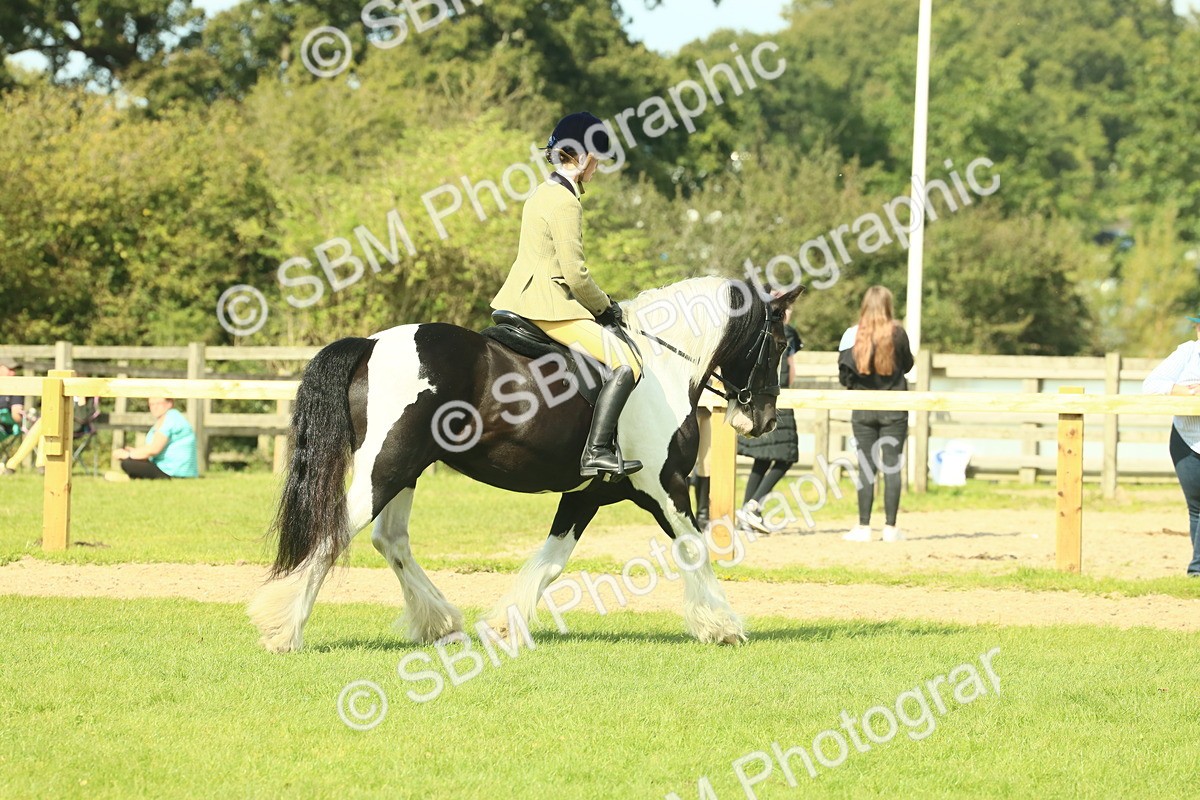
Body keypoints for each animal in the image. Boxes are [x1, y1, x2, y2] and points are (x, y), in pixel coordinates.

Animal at [249, 276, 803, 652]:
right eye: (777, 344)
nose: (763, 420)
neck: (665, 367)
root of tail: (372, 344)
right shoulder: (665, 485)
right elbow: (694, 549)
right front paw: (722, 625)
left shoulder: (588, 494)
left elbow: (551, 562)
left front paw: (503, 624)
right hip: (387, 466)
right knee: (335, 534)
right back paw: (284, 629)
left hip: (404, 469)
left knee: (391, 540)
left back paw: (440, 621)